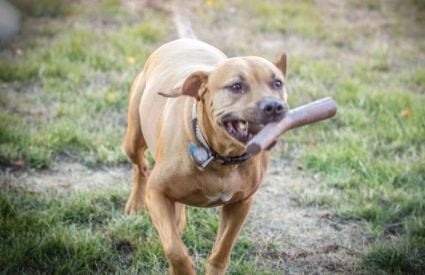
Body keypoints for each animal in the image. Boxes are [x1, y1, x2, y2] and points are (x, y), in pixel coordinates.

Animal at [122, 37, 288, 274]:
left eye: (277, 83)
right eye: (236, 86)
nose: (274, 106)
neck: (221, 157)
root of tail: (184, 39)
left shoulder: (241, 204)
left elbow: (222, 249)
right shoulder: (156, 193)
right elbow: (174, 248)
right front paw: (183, 269)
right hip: (133, 141)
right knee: (141, 167)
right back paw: (136, 204)